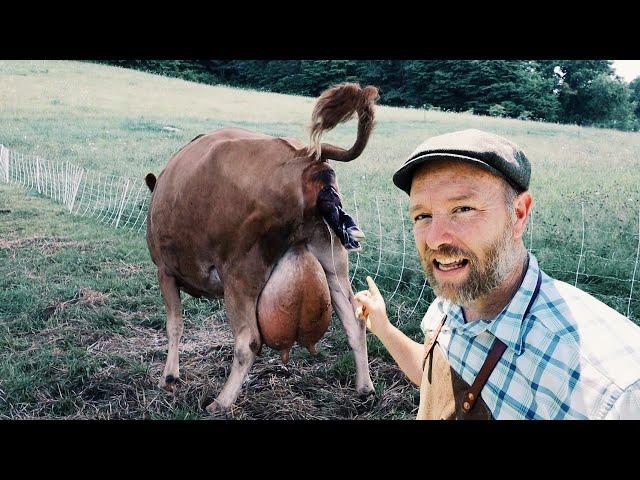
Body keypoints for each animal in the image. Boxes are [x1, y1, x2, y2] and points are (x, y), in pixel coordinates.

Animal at [145, 82, 380, 412]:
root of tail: (306, 155)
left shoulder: (164, 270)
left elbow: (174, 325)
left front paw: (169, 377)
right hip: (333, 262)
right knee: (354, 324)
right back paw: (365, 388)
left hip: (241, 272)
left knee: (248, 341)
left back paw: (221, 402)